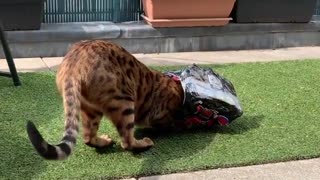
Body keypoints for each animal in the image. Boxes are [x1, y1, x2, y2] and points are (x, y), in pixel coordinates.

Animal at [26, 39, 185, 160]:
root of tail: (74, 66)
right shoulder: (161, 113)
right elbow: (165, 122)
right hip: (124, 100)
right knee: (127, 141)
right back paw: (144, 143)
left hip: (89, 109)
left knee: (87, 137)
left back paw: (103, 141)